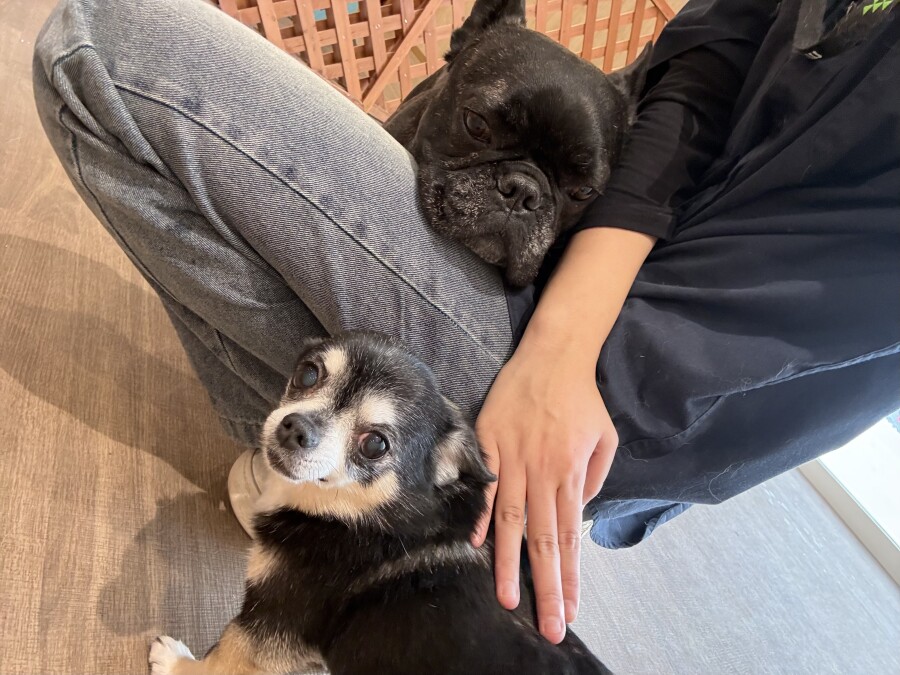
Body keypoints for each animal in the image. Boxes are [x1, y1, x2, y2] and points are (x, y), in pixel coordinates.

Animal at [149, 332, 612, 674]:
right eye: (308, 374)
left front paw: (175, 661)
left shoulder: (266, 630)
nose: (295, 427)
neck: (364, 519)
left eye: (375, 445)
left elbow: (216, 661)